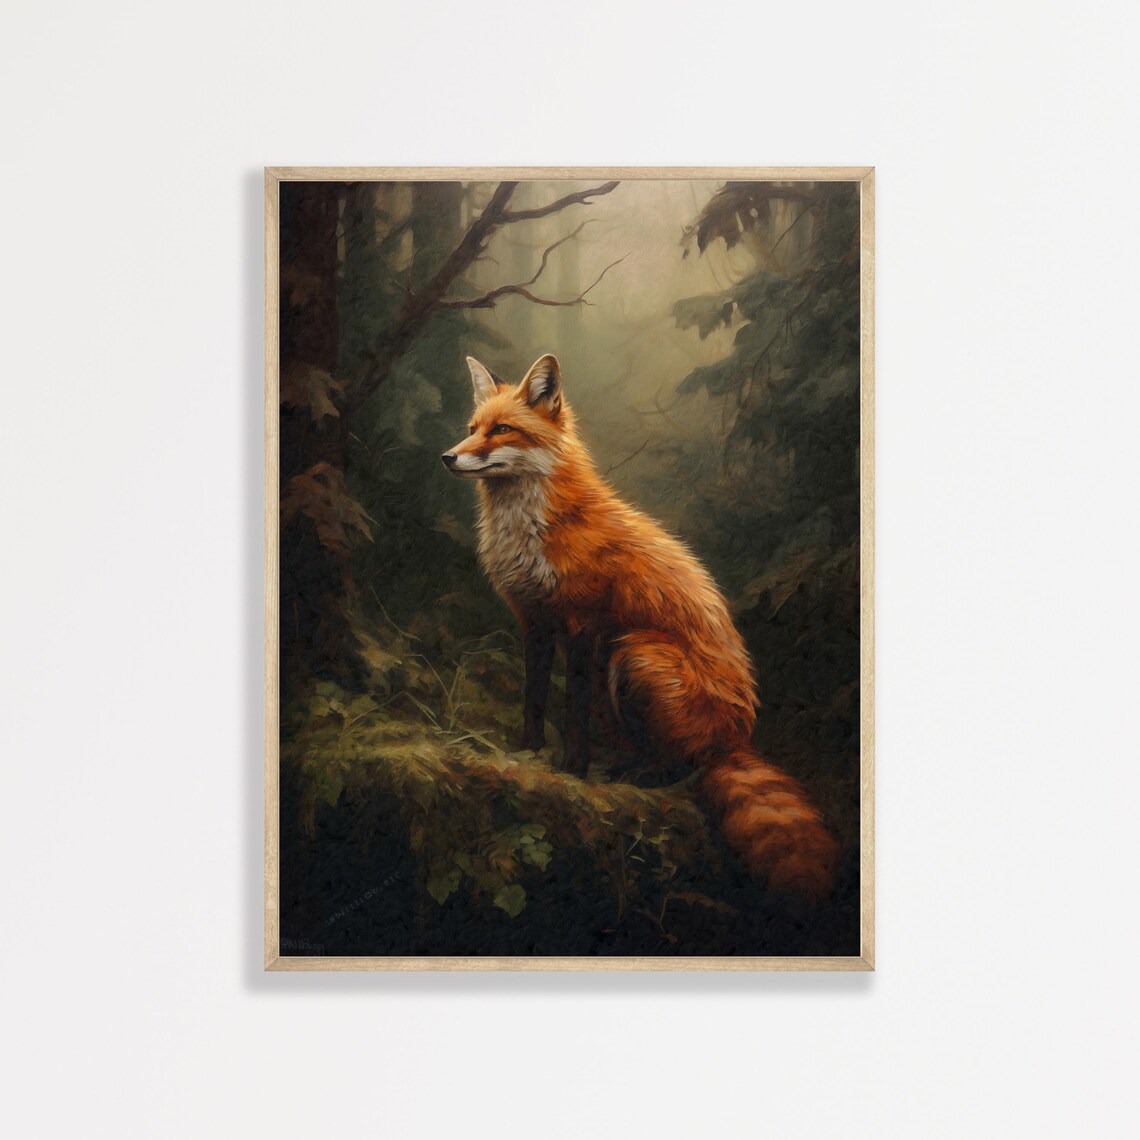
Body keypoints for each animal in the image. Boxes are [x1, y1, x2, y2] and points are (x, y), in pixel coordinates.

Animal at [442, 353, 837, 900]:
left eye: (502, 430)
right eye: (471, 429)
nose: (447, 457)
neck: (534, 529)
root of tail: (735, 738)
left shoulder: (581, 623)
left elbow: (572, 710)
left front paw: (573, 769)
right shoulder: (534, 622)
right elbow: (534, 698)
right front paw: (528, 751)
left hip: (635, 654)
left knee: (687, 764)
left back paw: (646, 776)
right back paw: (627, 767)